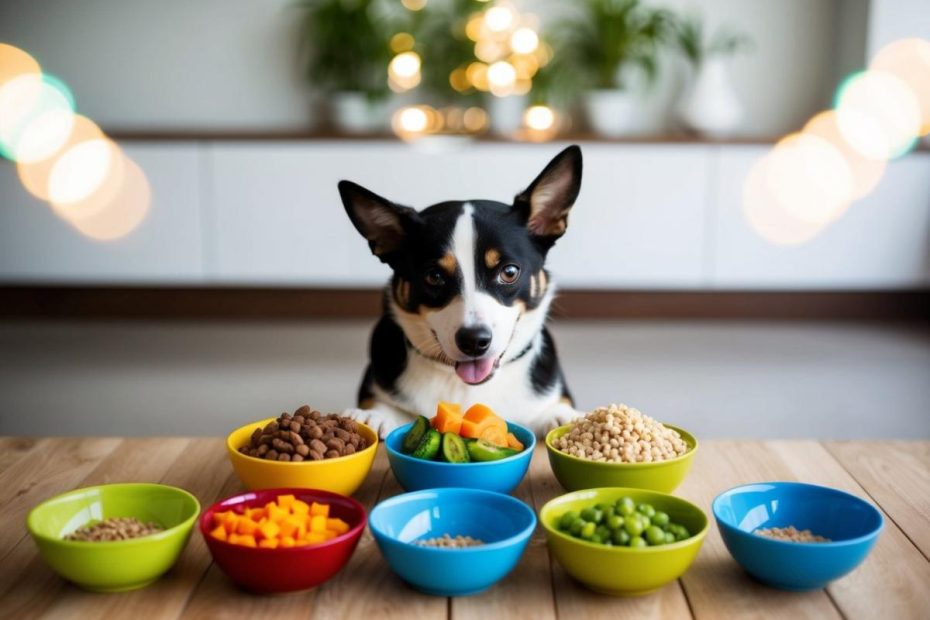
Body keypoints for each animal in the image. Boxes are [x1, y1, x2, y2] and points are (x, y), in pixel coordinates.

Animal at [338, 145, 584, 436]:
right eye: (433, 276)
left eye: (509, 272)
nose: (474, 341)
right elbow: (383, 405)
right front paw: (372, 415)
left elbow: (554, 408)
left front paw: (562, 416)